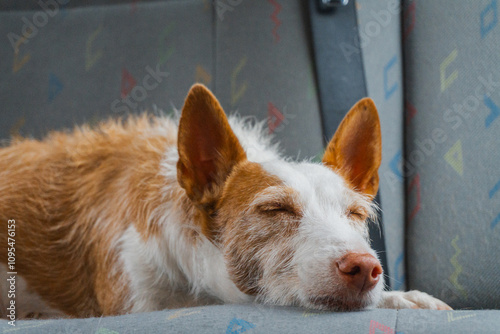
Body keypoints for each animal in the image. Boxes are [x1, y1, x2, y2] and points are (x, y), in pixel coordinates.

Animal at [0, 84, 452, 318]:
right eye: (276, 209)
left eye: (356, 213)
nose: (364, 268)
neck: (200, 291)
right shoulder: (134, 299)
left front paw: (404, 297)